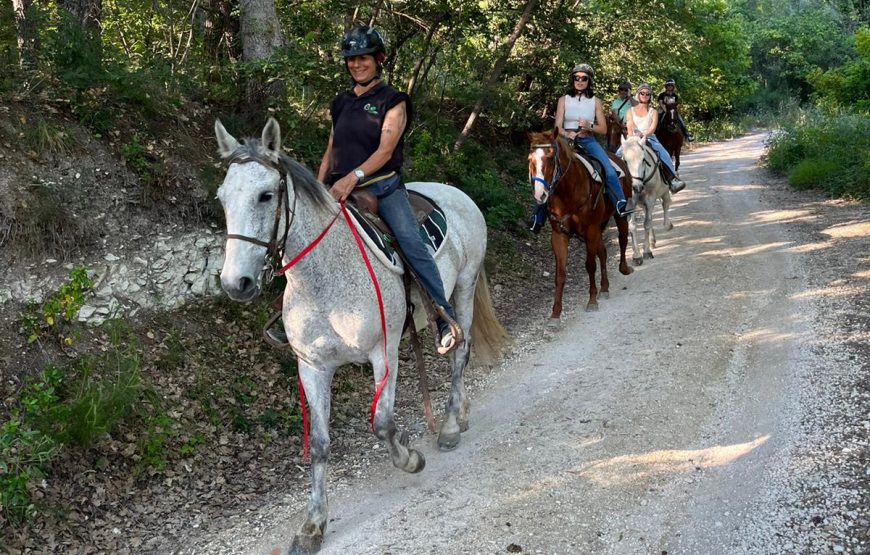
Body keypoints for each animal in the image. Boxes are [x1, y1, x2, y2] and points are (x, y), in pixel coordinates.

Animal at [214, 118, 508, 555]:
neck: (324, 281)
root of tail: (456, 193)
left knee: (461, 352)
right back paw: (462, 414)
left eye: (266, 195)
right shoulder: (313, 367)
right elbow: (319, 445)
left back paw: (451, 425)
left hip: (465, 287)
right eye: (222, 198)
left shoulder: (382, 354)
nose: (236, 283)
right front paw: (313, 525)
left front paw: (409, 457)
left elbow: (382, 423)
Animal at [528, 131, 636, 324]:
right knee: (603, 252)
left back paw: (624, 268)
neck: (567, 193)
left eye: (551, 158)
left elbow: (590, 265)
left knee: (622, 239)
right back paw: (605, 288)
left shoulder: (590, 230)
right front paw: (555, 314)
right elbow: (560, 274)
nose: (540, 194)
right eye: (530, 159)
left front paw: (592, 301)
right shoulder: (559, 235)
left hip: (618, 216)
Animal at [620, 135, 676, 264]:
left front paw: (646, 252)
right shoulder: (631, 202)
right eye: (625, 161)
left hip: (664, 191)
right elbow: (632, 226)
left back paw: (667, 225)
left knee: (665, 205)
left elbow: (646, 223)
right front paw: (636, 256)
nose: (636, 187)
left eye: (643, 160)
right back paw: (652, 240)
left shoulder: (650, 199)